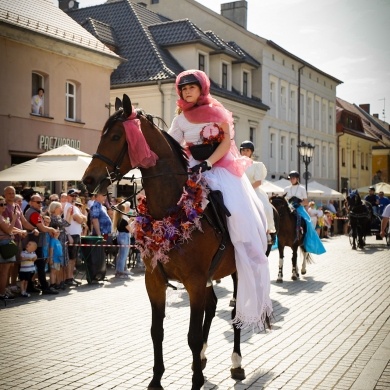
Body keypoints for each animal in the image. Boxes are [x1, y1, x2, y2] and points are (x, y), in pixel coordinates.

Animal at [82, 94, 254, 390]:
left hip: (237, 272)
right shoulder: (155, 280)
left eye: (115, 136)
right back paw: (204, 357)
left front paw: (196, 380)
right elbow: (157, 331)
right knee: (212, 306)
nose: (88, 180)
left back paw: (236, 362)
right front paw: (157, 379)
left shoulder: (194, 281)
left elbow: (192, 336)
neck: (170, 208)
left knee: (235, 314)